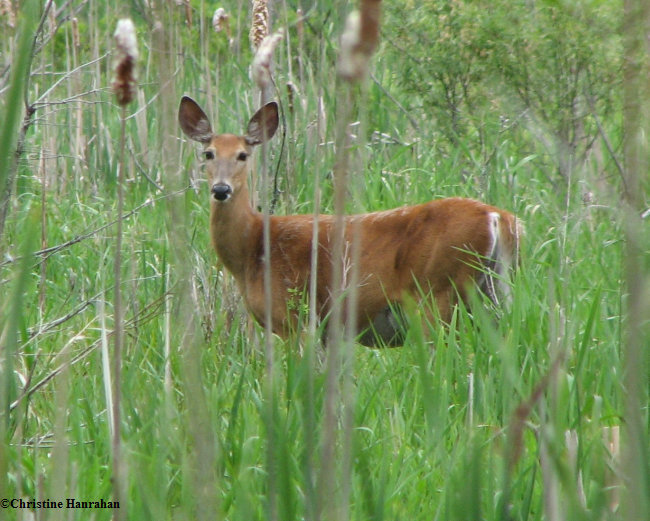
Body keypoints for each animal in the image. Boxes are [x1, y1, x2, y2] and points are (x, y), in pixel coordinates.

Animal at [178, 97, 520, 346]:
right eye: (208, 153)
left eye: (242, 155)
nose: (221, 189)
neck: (253, 247)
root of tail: (498, 218)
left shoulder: (293, 318)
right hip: (497, 289)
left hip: (437, 294)